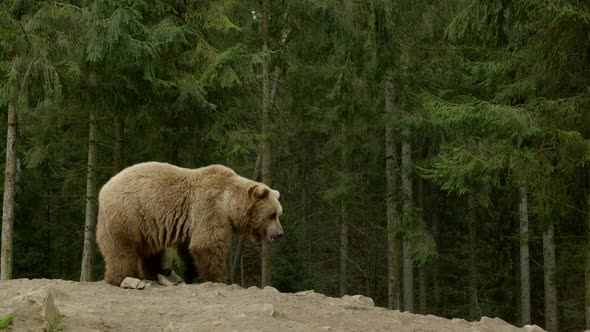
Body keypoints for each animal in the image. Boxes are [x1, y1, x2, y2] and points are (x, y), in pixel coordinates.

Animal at [96, 161, 284, 286]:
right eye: (272, 214)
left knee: (152, 251)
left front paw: (191, 274)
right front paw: (223, 278)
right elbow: (208, 244)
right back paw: (118, 277)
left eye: (279, 214)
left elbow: (190, 250)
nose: (280, 233)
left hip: (147, 225)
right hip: (128, 214)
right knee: (121, 249)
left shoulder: (191, 223)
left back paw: (158, 272)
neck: (230, 205)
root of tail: (104, 188)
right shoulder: (210, 208)